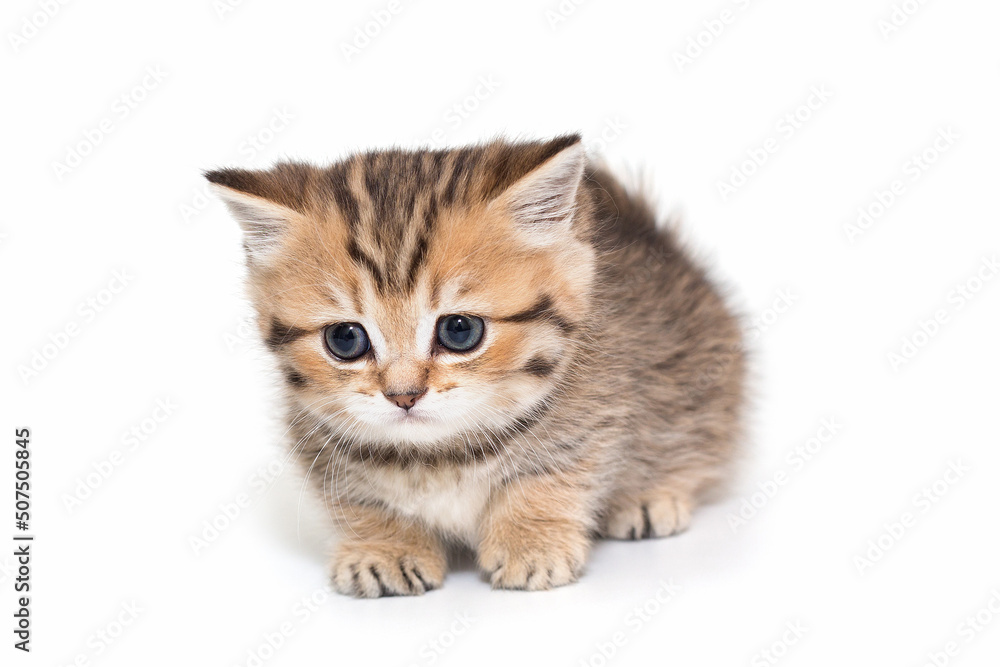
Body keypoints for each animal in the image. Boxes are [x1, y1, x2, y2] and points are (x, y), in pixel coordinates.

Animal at [207, 133, 748, 596]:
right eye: (345, 339)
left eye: (460, 330)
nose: (403, 394)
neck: (440, 455)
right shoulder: (315, 434)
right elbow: (359, 498)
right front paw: (384, 547)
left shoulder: (597, 409)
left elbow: (553, 473)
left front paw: (531, 540)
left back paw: (650, 497)